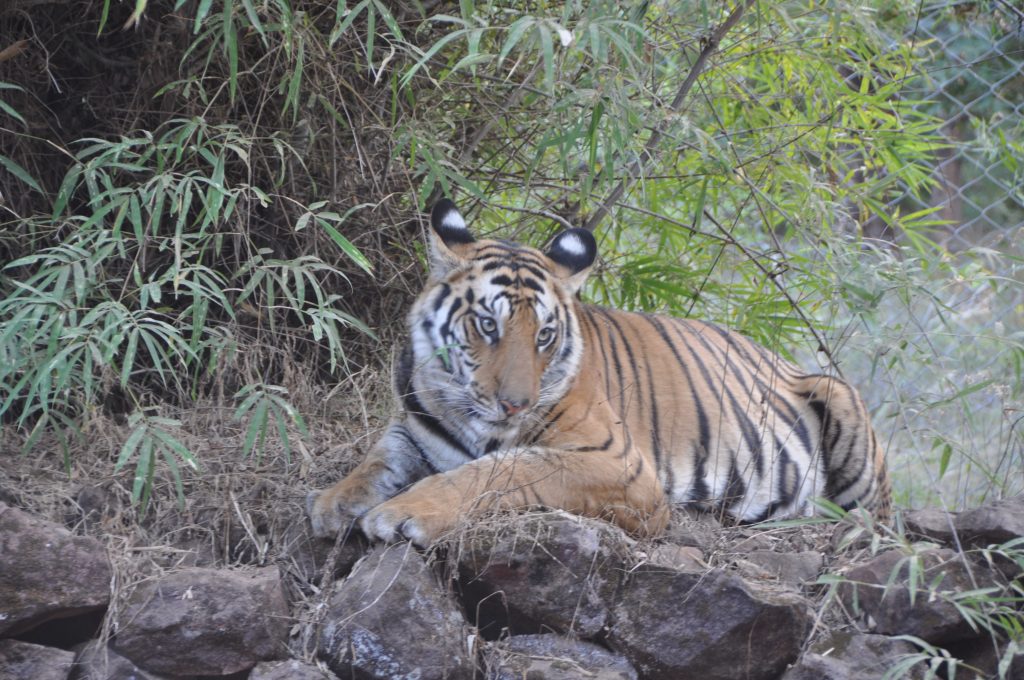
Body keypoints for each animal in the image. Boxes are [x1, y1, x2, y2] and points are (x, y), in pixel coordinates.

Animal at [305, 199, 888, 544]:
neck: (461, 410)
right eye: (488, 326)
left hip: (840, 402)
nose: (514, 404)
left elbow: (503, 470)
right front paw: (332, 502)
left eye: (544, 335)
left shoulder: (616, 463)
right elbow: (375, 463)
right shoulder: (411, 428)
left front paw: (405, 512)